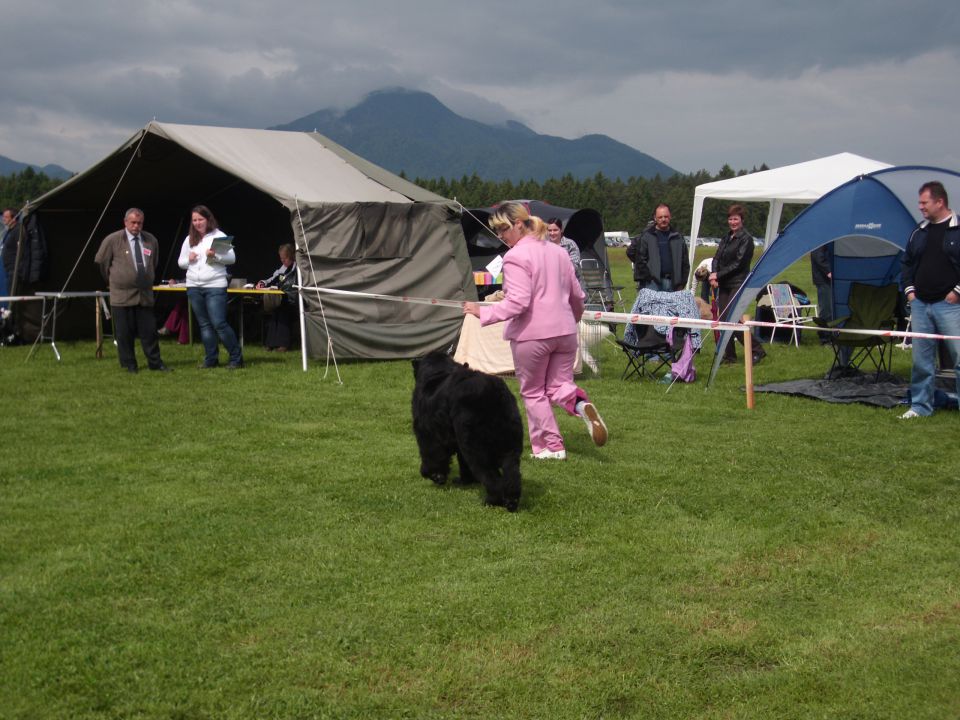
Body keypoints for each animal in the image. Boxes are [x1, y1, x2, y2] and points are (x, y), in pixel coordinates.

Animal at [410, 350, 520, 510]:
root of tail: (492, 393)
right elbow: (462, 460)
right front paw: (465, 480)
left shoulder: (427, 431)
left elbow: (431, 452)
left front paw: (434, 474)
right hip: (510, 441)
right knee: (512, 470)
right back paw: (511, 501)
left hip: (476, 445)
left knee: (489, 474)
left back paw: (491, 500)